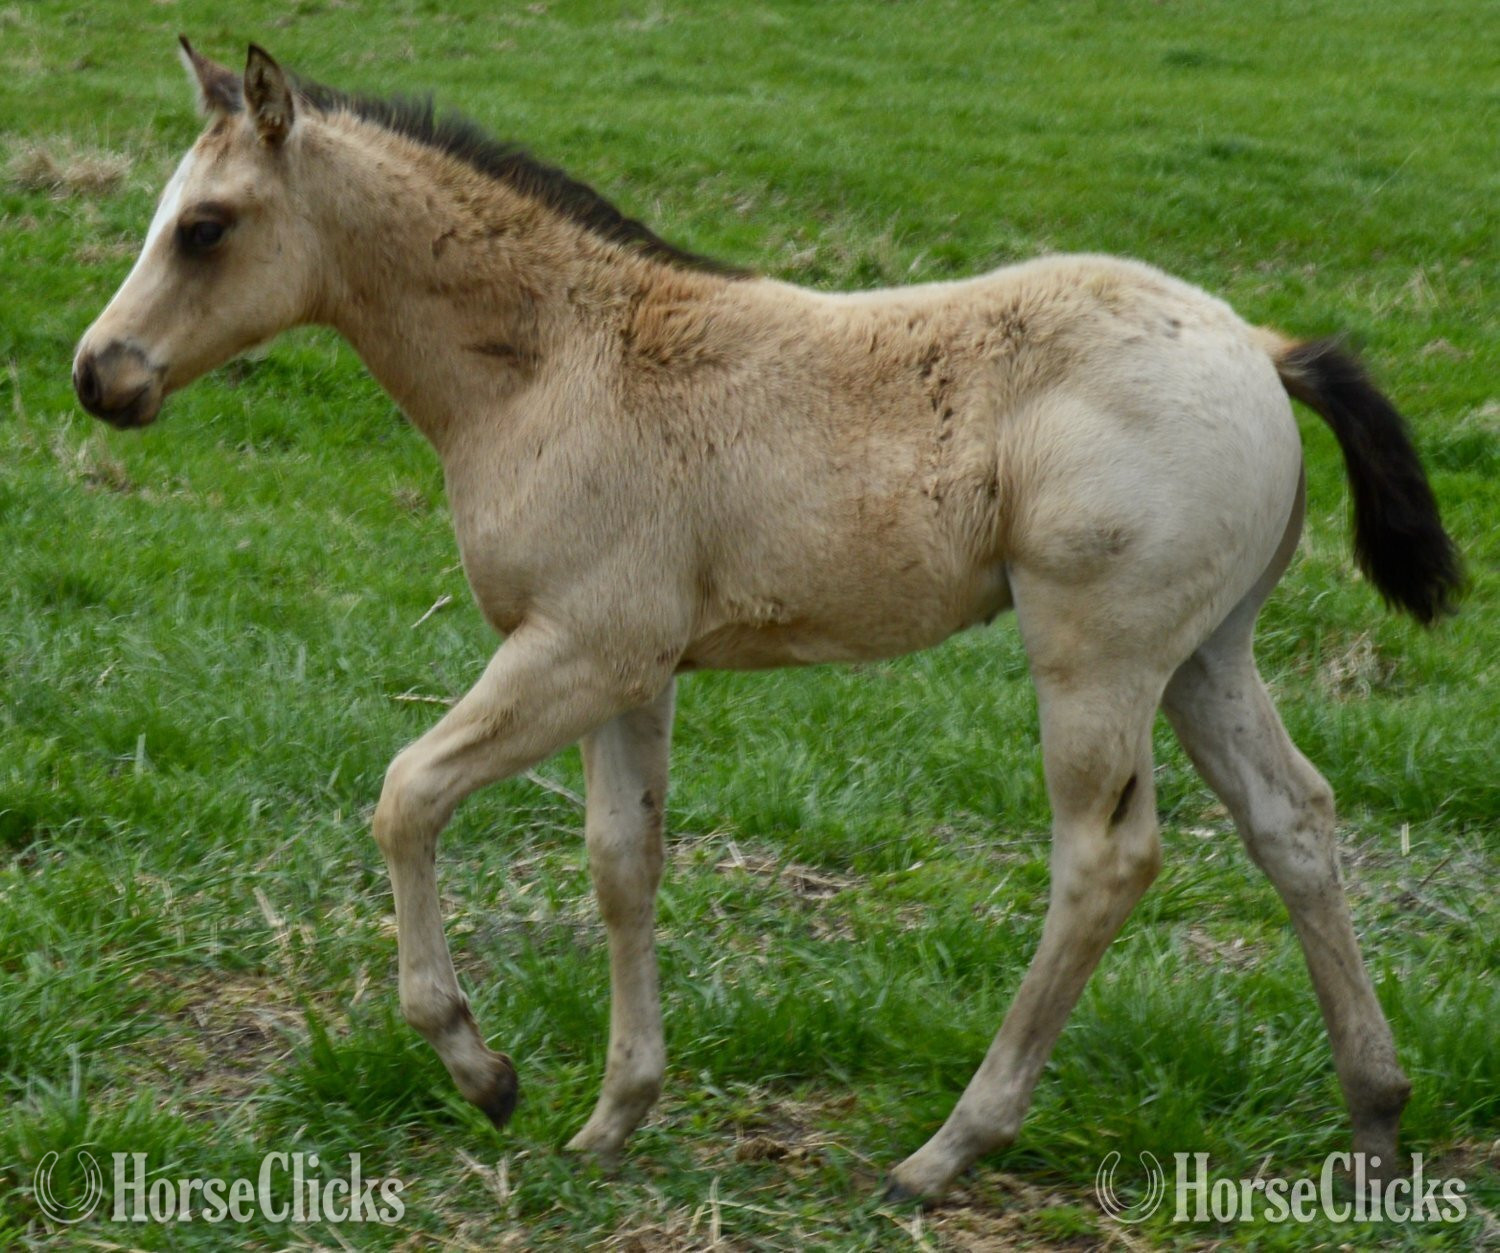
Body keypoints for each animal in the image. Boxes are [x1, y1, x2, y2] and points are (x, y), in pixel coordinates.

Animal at [72, 40, 1461, 1201]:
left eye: (204, 227)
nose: (101, 374)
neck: (558, 359)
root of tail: (1261, 346)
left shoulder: (580, 647)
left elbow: (407, 791)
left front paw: (484, 1069)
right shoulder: (633, 670)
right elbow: (622, 861)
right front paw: (614, 1113)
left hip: (1097, 654)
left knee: (1106, 861)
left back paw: (946, 1149)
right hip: (1205, 653)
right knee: (1294, 819)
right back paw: (1377, 1119)